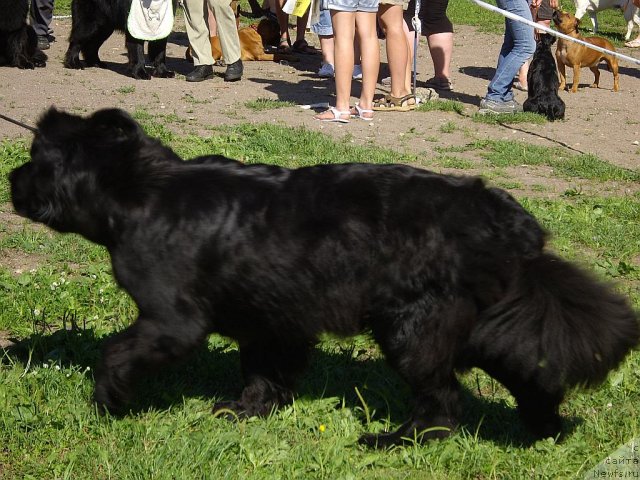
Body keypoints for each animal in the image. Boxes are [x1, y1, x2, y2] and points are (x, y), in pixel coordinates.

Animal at [7, 108, 636, 446]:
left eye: (35, 159)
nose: (10, 179)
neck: (141, 191)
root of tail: (506, 221)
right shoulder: (269, 320)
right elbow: (263, 372)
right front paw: (248, 411)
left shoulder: (171, 321)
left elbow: (114, 352)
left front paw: (109, 400)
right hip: (479, 326)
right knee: (528, 372)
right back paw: (543, 428)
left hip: (413, 329)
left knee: (442, 401)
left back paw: (395, 441)